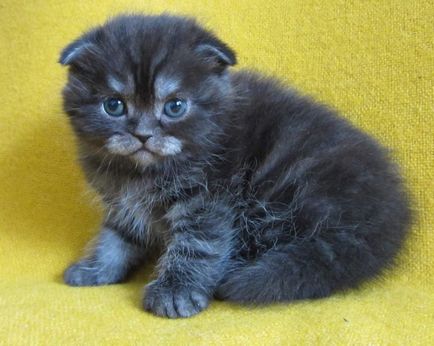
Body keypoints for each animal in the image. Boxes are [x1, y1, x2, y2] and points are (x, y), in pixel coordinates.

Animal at [60, 13, 410, 318]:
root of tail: (386, 220)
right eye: (113, 105)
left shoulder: (208, 199)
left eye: (175, 106)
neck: (139, 172)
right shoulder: (123, 204)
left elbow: (198, 245)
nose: (143, 135)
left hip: (281, 194)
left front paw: (176, 291)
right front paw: (95, 268)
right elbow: (116, 237)